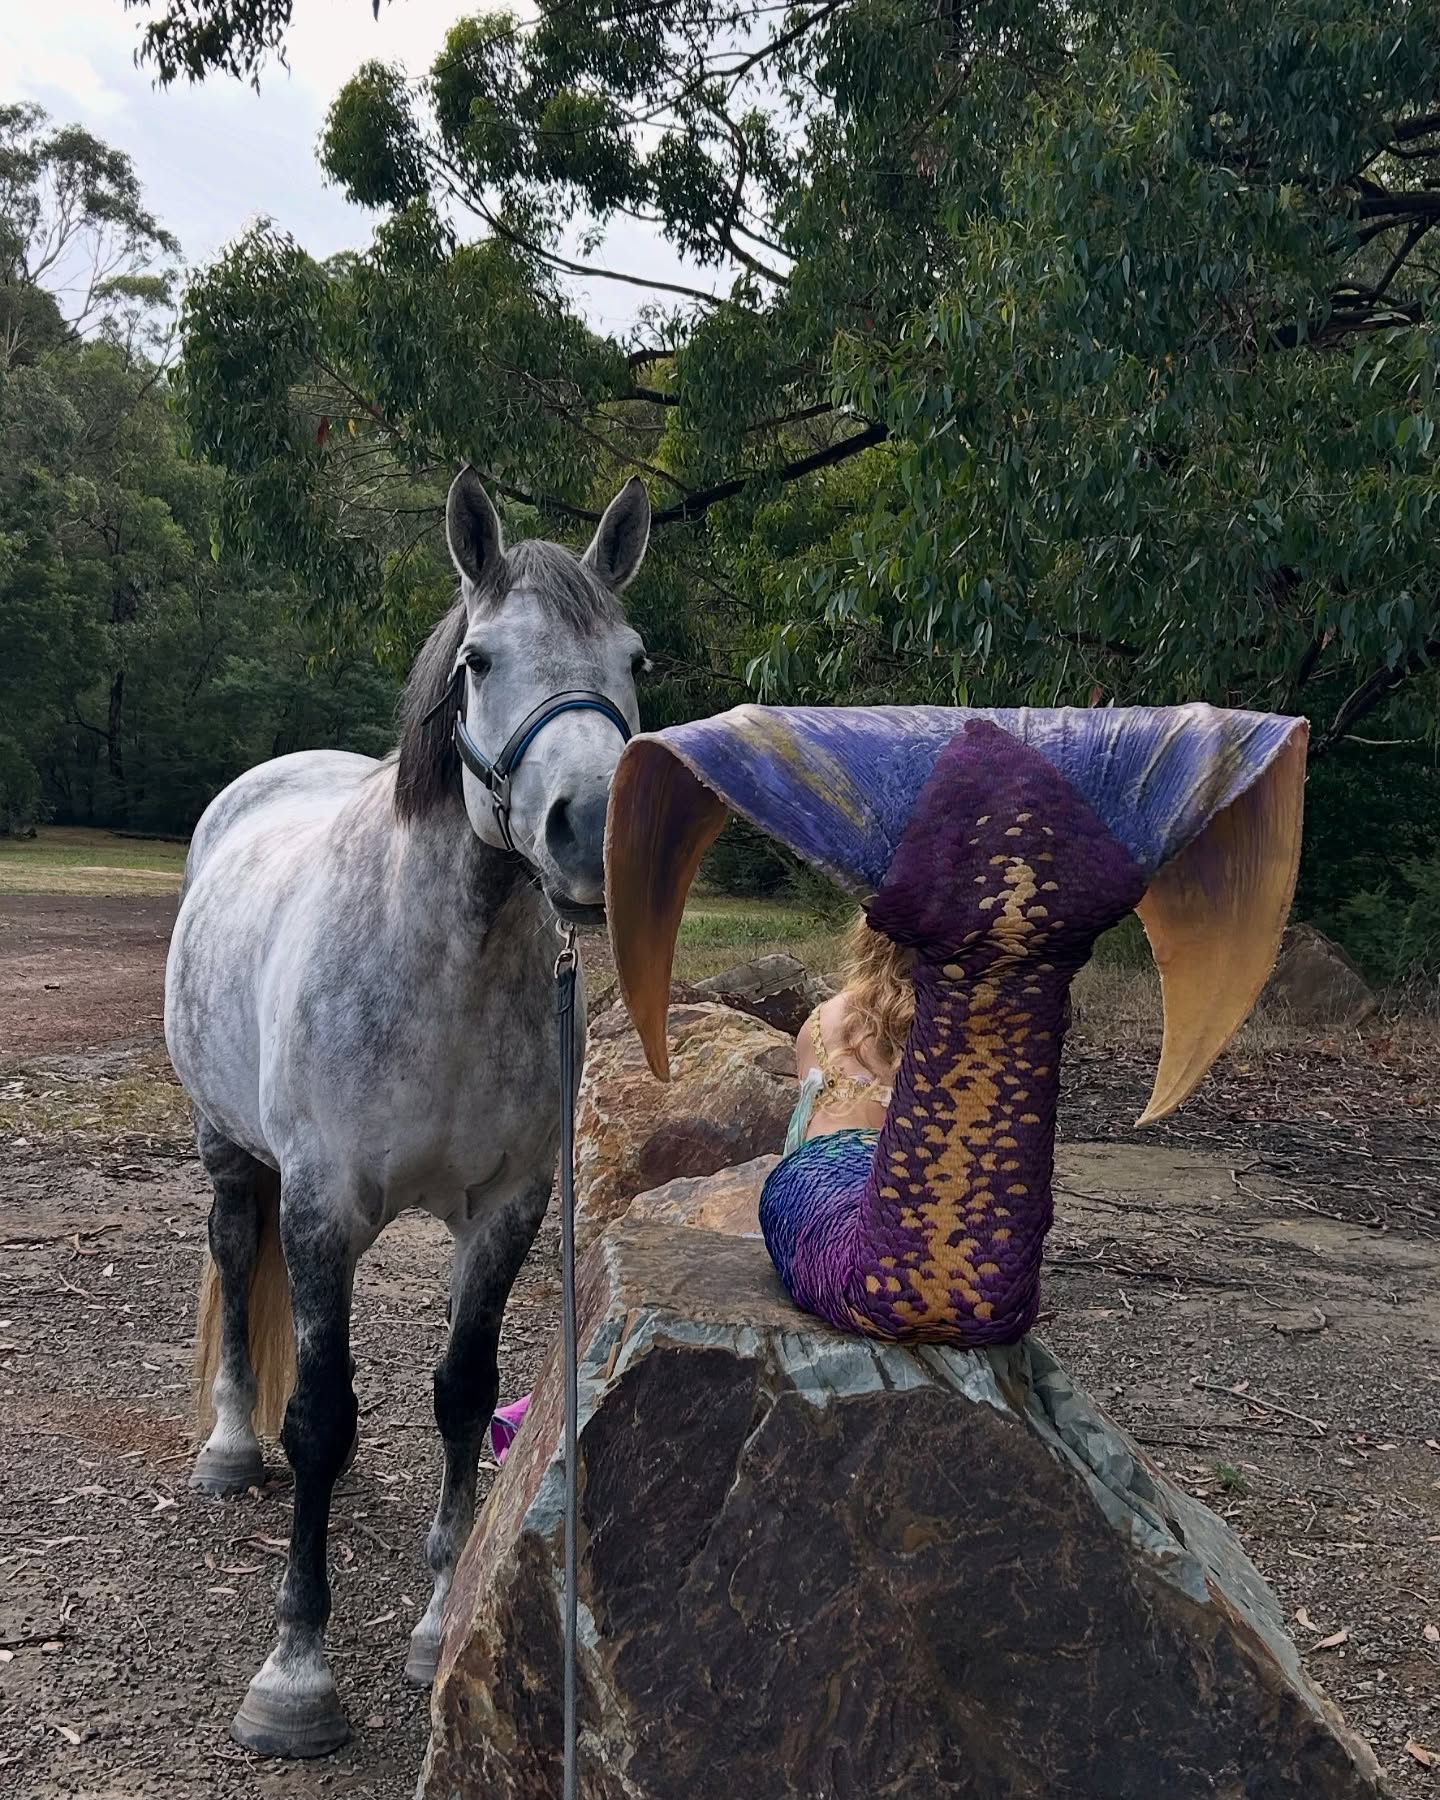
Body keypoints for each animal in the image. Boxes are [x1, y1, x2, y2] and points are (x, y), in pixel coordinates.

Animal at [164, 466, 651, 1758]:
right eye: (480, 659)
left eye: (634, 657)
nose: (593, 829)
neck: (445, 966)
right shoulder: (323, 1211)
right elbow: (322, 1419)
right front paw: (295, 1673)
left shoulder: (507, 1210)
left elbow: (462, 1396)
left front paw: (440, 1621)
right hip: (231, 1154)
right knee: (235, 1258)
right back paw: (230, 1447)